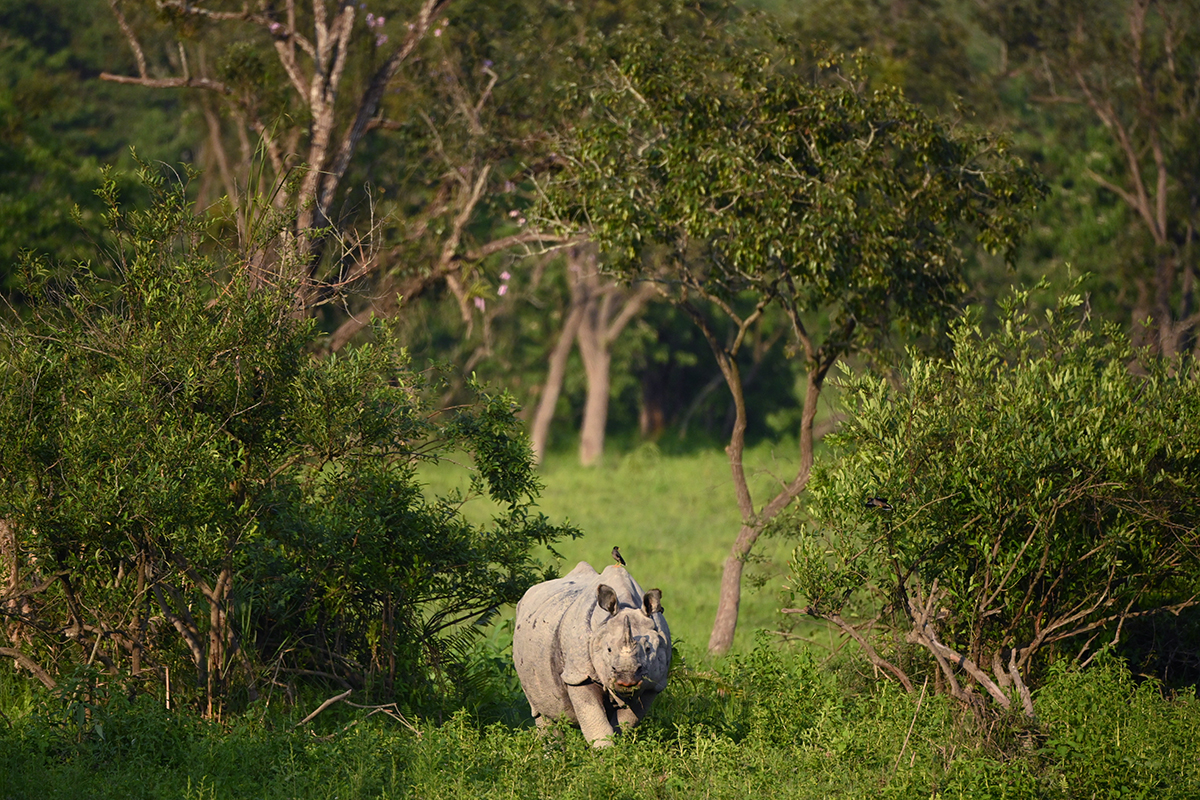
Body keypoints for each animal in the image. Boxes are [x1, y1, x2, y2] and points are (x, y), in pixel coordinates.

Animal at [511, 561, 672, 748]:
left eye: (648, 649)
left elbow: (625, 724)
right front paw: (605, 752)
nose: (627, 679)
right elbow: (596, 722)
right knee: (542, 712)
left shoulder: (654, 683)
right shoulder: (578, 675)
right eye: (608, 650)